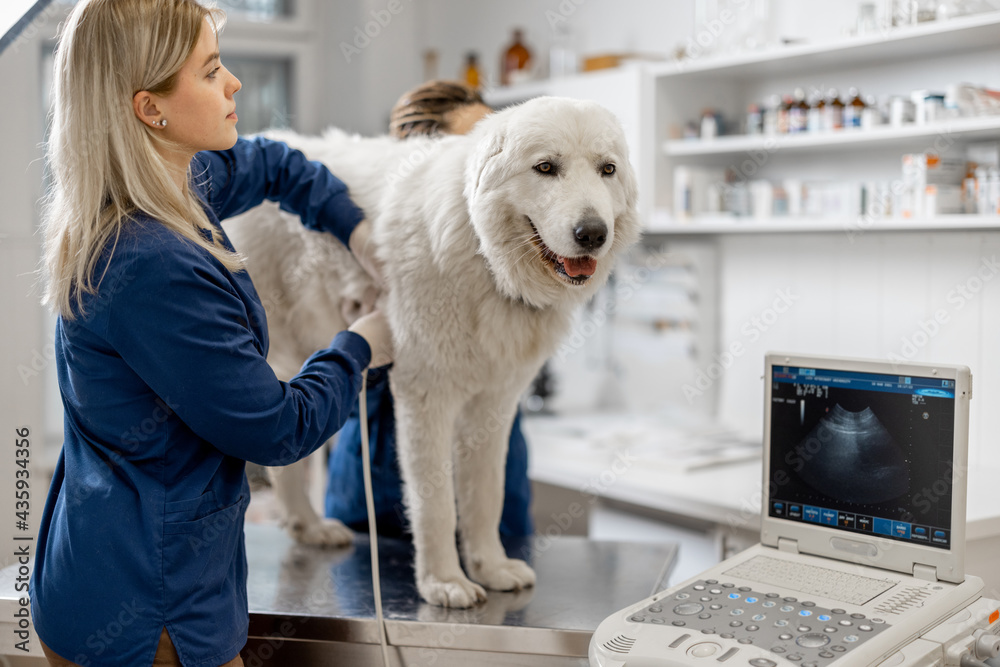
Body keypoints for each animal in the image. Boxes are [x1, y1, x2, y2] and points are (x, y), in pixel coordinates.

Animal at [225, 96, 640, 608]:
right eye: (546, 167)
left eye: (607, 169)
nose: (593, 233)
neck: (486, 262)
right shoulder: (427, 398)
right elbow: (436, 503)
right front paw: (444, 581)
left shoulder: (493, 406)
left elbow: (486, 497)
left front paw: (491, 567)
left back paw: (309, 526)